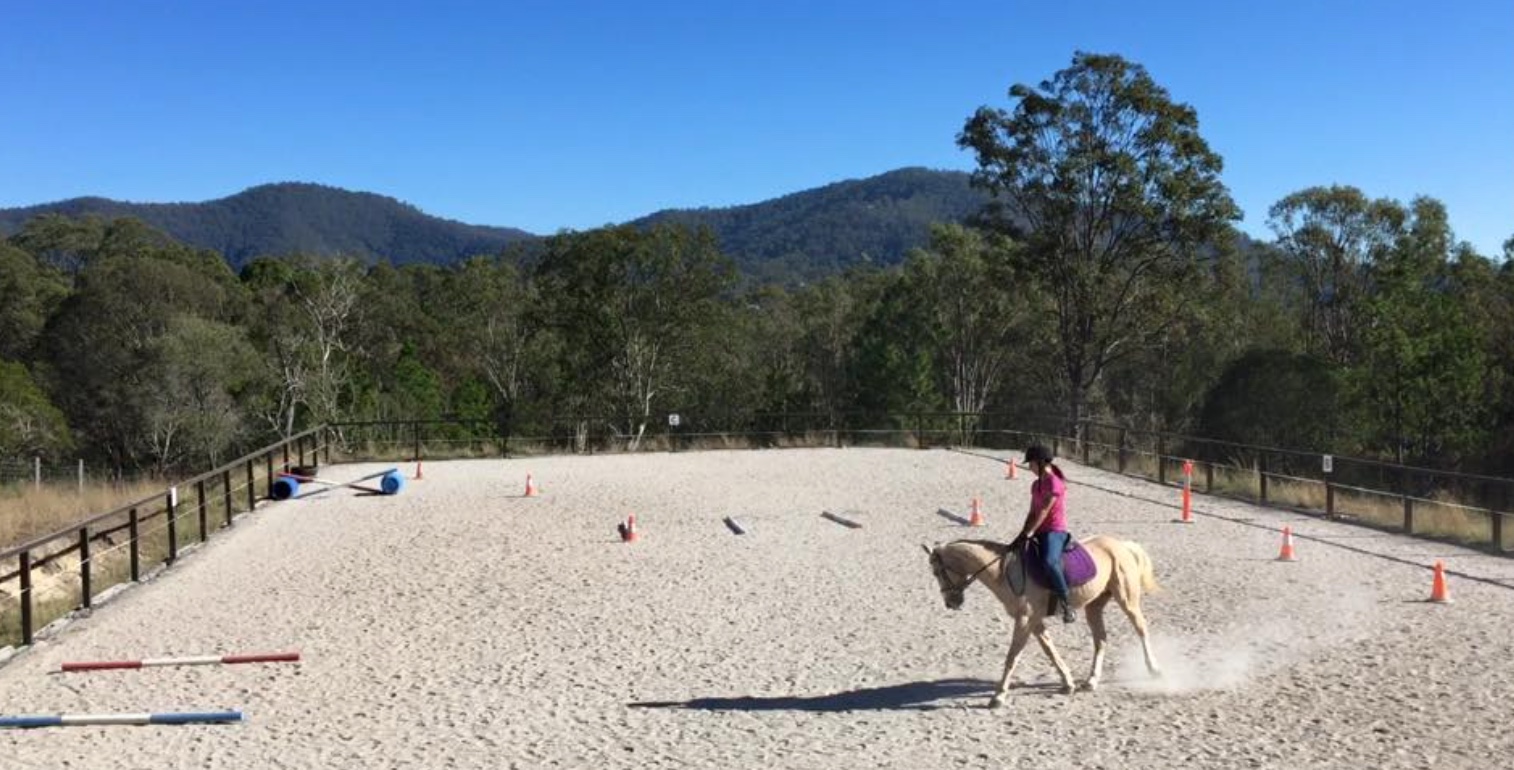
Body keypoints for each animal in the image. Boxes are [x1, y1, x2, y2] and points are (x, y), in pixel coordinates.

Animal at [922, 536, 1163, 708]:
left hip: (1126, 599)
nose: (951, 603)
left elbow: (1012, 657)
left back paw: (1154, 669)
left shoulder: (1024, 620)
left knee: (1141, 629)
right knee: (1101, 639)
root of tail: (1121, 544)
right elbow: (1050, 650)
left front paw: (998, 696)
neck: (1004, 572)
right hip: (1094, 606)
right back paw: (1091, 681)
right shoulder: (1034, 621)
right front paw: (1068, 683)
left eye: (936, 572)